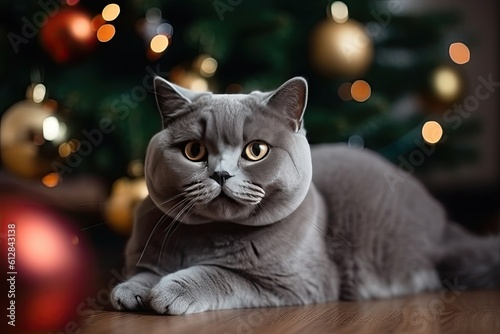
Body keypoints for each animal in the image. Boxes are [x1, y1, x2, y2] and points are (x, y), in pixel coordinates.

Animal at [111, 77, 498, 314]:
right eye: (193, 151)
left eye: (256, 151)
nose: (221, 173)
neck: (208, 236)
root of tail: (444, 222)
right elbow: (145, 271)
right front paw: (130, 290)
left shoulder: (293, 283)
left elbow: (219, 273)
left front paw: (169, 291)